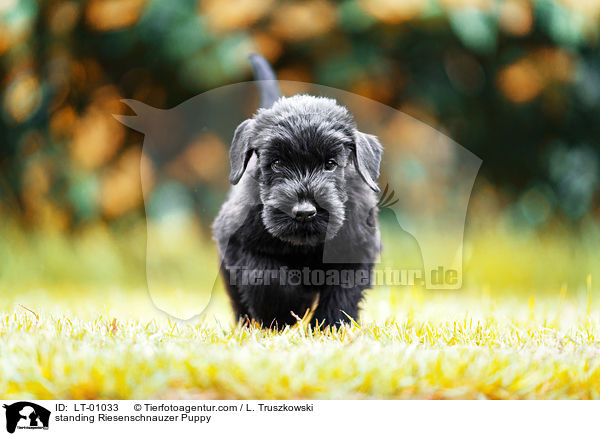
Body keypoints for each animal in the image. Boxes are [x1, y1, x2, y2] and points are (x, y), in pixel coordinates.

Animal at [213, 55, 382, 328]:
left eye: (330, 164)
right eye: (277, 163)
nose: (304, 212)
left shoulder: (355, 249)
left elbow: (343, 292)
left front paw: (330, 326)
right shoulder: (237, 242)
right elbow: (266, 276)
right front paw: (286, 311)